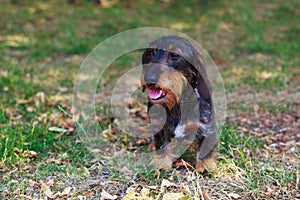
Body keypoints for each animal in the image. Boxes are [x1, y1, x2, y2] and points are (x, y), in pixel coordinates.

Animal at [141, 35, 218, 172]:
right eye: (151, 52)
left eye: (174, 55)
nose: (149, 79)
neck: (178, 102)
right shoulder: (160, 127)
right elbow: (161, 145)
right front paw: (161, 164)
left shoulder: (206, 127)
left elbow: (206, 148)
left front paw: (205, 165)